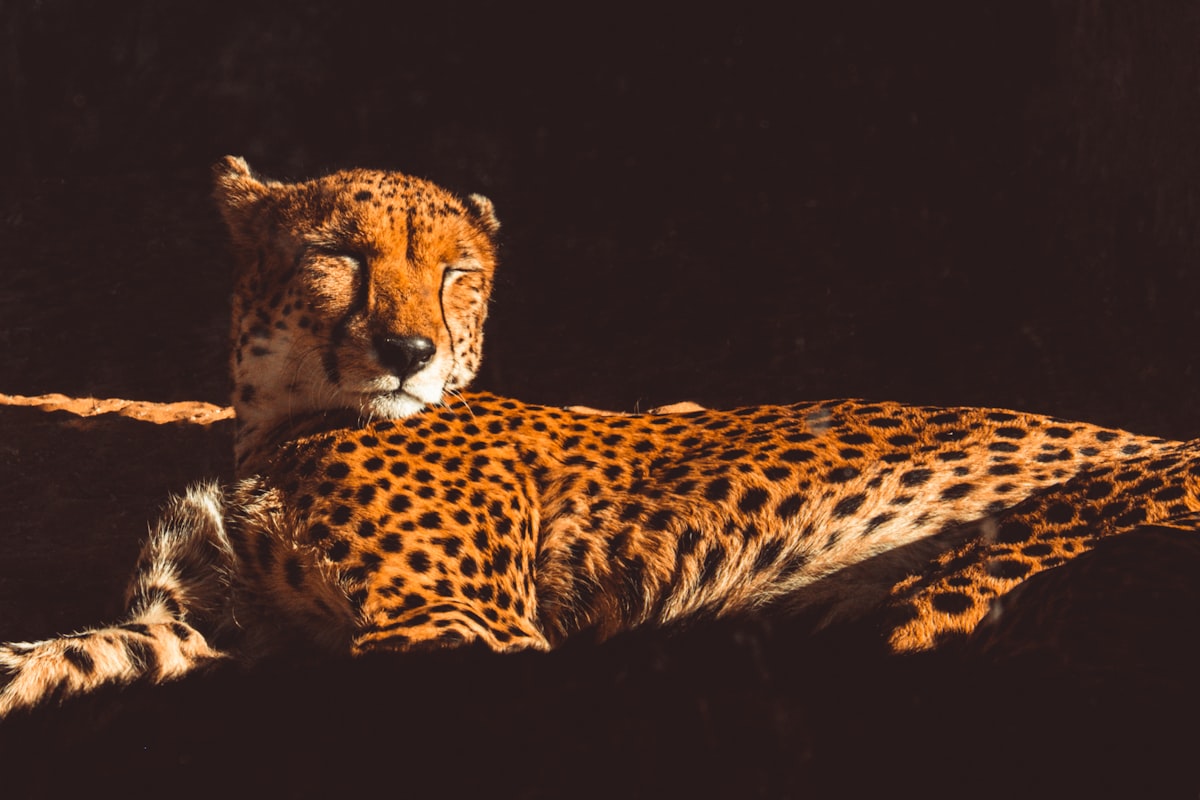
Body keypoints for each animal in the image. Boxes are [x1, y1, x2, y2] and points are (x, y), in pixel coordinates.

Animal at [2, 156, 1198, 717]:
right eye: (339, 254)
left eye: (456, 273)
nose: (409, 351)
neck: (284, 424)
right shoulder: (198, 625)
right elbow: (69, 650)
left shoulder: (463, 631)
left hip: (962, 587)